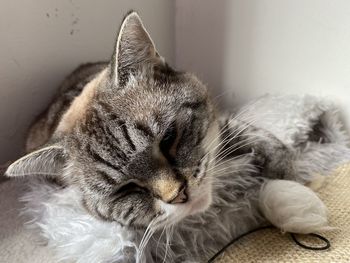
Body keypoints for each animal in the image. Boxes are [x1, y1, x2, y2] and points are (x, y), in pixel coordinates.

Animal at [4, 11, 342, 262]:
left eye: (168, 138)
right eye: (126, 189)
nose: (179, 195)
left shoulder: (223, 122)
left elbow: (257, 135)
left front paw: (291, 170)